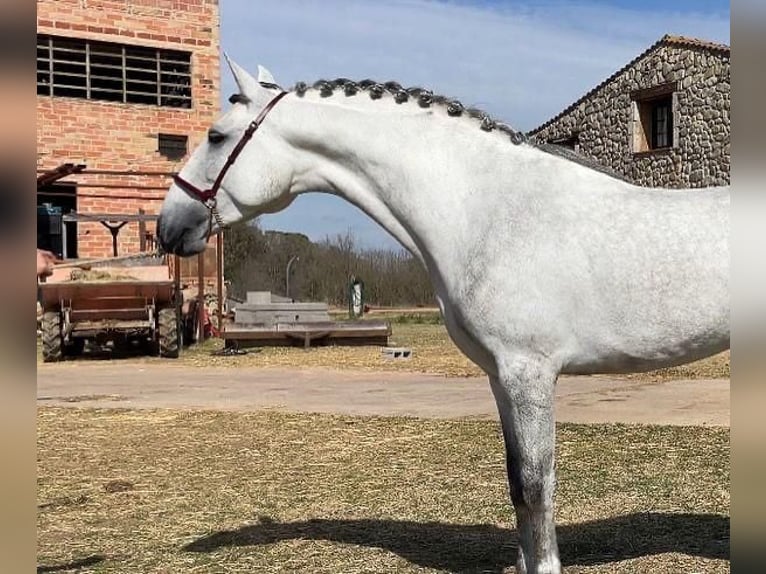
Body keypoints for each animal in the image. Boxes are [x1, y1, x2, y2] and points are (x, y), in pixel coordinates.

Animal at [158, 59, 732, 574]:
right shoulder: (502, 377)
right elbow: (516, 484)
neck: (486, 209)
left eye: (215, 136)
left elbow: (536, 484)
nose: (168, 228)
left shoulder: (529, 373)